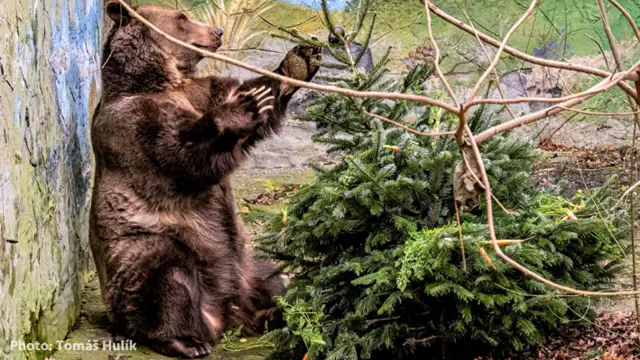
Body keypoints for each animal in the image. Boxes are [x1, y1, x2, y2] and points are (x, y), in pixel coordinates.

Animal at [89, 1, 320, 358]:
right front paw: (241, 107)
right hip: (144, 252)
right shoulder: (135, 126)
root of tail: (226, 316)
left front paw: (296, 64)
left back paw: (281, 308)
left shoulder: (198, 92)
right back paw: (185, 340)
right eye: (182, 17)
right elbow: (182, 157)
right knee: (166, 276)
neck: (161, 80)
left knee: (270, 273)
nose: (218, 31)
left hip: (246, 263)